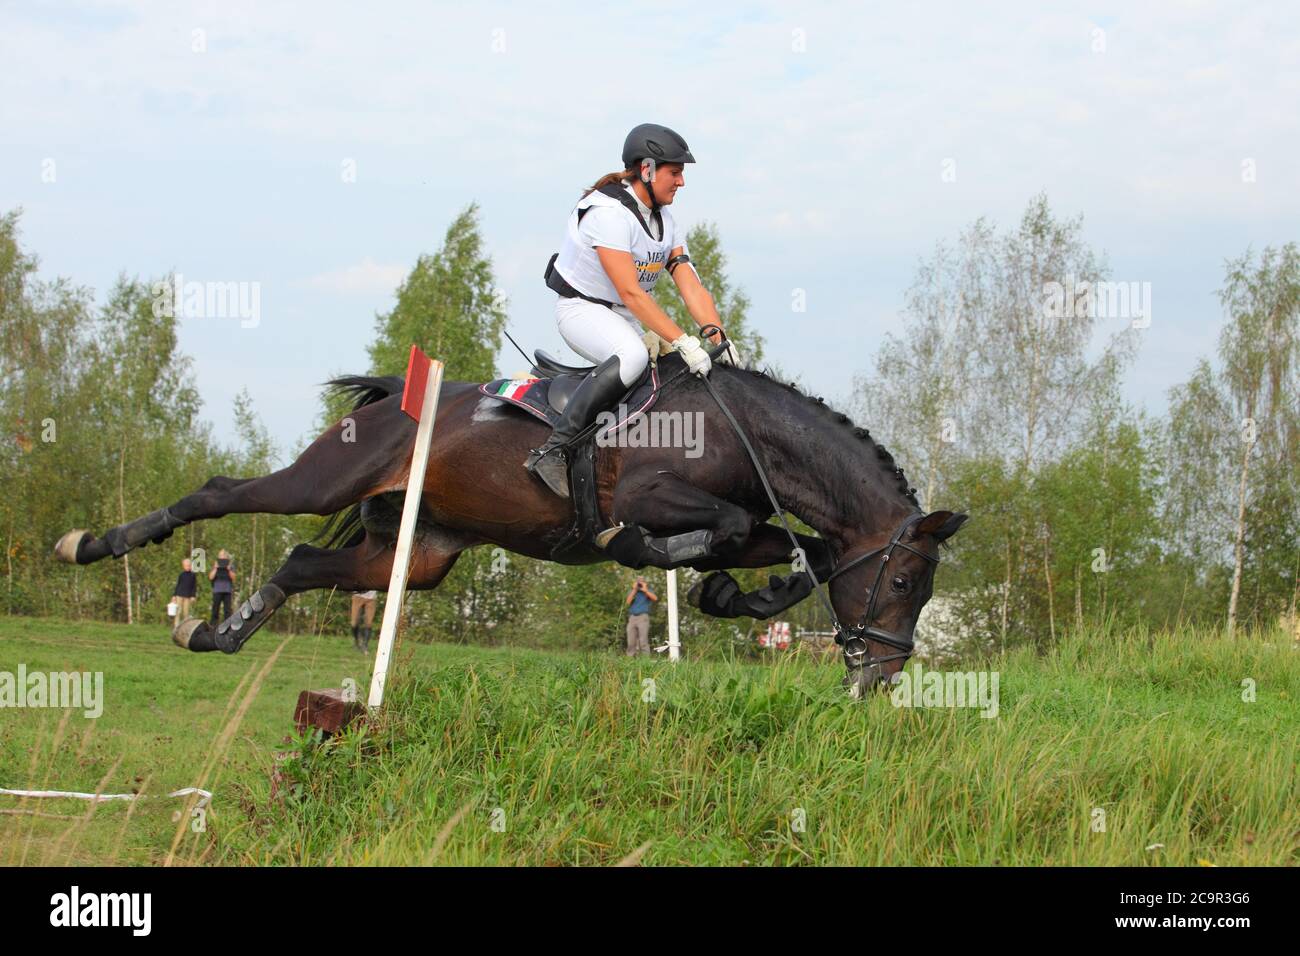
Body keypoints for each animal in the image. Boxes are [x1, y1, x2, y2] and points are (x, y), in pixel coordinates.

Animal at [53, 351, 967, 697]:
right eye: (904, 579)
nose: (884, 677)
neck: (743, 428)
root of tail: (390, 396)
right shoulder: (654, 497)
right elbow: (714, 529)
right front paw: (664, 558)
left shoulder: (755, 520)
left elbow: (789, 549)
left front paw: (739, 594)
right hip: (326, 479)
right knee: (223, 493)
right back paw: (96, 544)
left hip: (417, 552)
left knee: (308, 560)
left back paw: (219, 633)